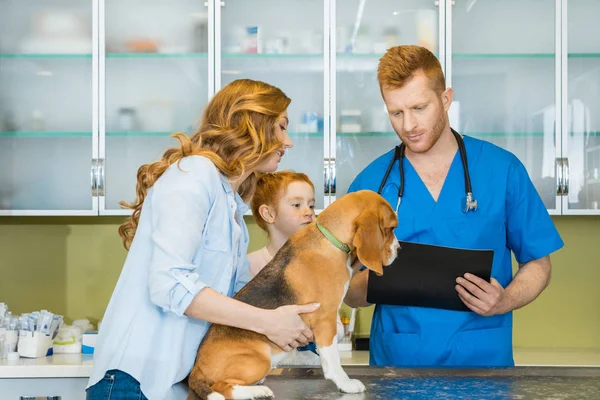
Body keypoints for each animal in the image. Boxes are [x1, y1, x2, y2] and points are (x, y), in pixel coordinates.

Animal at [188, 189, 400, 398]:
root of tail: (196, 368)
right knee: (222, 387)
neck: (329, 238)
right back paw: (258, 390)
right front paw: (345, 383)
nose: (398, 249)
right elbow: (333, 359)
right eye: (390, 229)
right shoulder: (325, 320)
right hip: (259, 360)